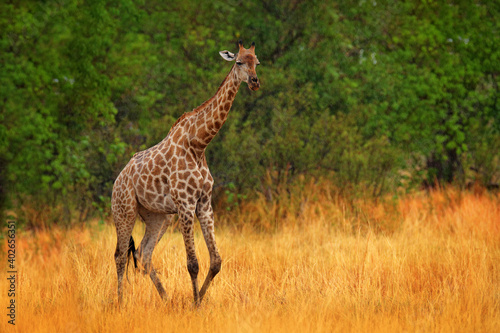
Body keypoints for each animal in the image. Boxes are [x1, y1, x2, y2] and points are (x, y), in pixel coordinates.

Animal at [112, 40, 262, 304]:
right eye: (238, 62)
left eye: (258, 61)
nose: (254, 82)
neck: (199, 144)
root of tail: (117, 181)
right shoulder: (185, 203)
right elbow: (193, 263)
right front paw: (195, 304)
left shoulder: (204, 203)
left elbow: (216, 261)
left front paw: (198, 300)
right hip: (124, 211)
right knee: (121, 255)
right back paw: (120, 303)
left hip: (158, 216)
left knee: (142, 253)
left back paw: (165, 299)